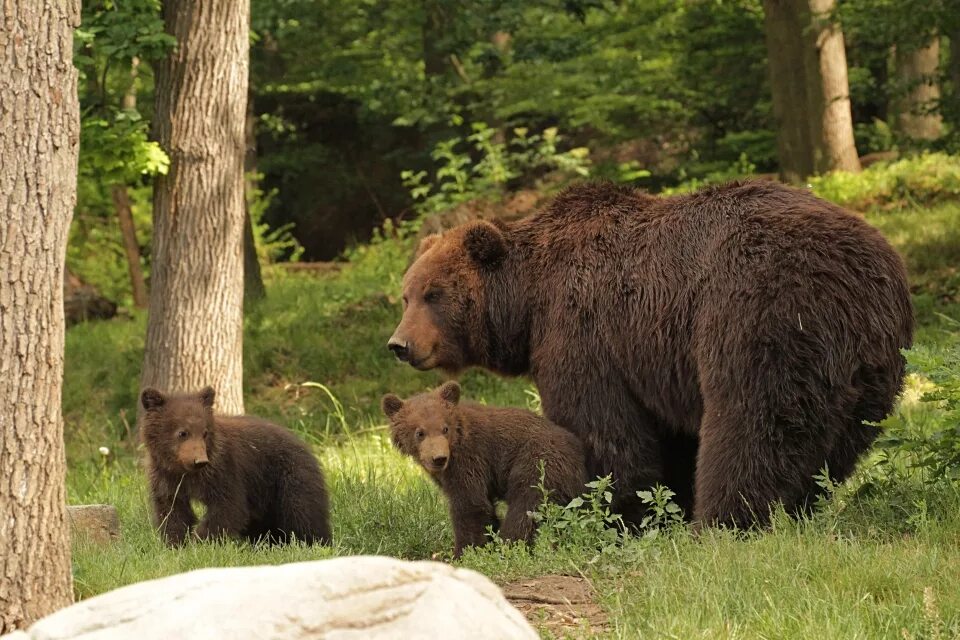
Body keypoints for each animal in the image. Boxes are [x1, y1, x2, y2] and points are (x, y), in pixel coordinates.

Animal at [386, 181, 912, 528]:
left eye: (434, 294)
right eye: (406, 294)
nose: (399, 345)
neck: (530, 301)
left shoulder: (585, 332)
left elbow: (602, 431)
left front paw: (614, 514)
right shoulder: (654, 362)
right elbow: (668, 439)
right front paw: (662, 509)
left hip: (760, 314)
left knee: (751, 425)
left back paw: (724, 521)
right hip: (872, 368)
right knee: (834, 447)